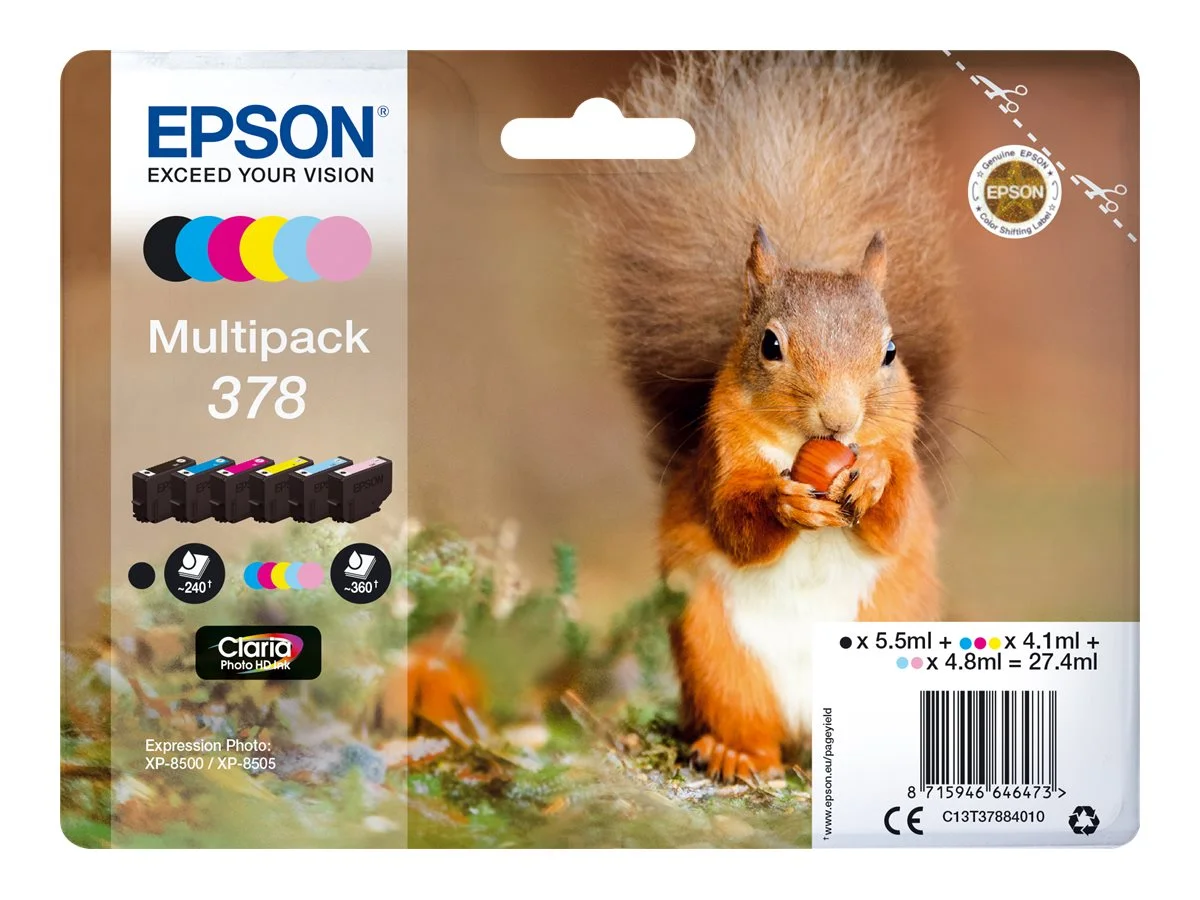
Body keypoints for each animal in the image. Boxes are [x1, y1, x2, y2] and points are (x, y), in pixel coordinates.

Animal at [578, 52, 958, 781]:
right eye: (770, 344)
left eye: (891, 351)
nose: (839, 418)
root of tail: (813, 731)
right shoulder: (720, 457)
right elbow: (734, 522)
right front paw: (786, 505)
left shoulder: (906, 453)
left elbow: (894, 522)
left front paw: (871, 479)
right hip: (719, 658)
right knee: (749, 725)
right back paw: (735, 754)